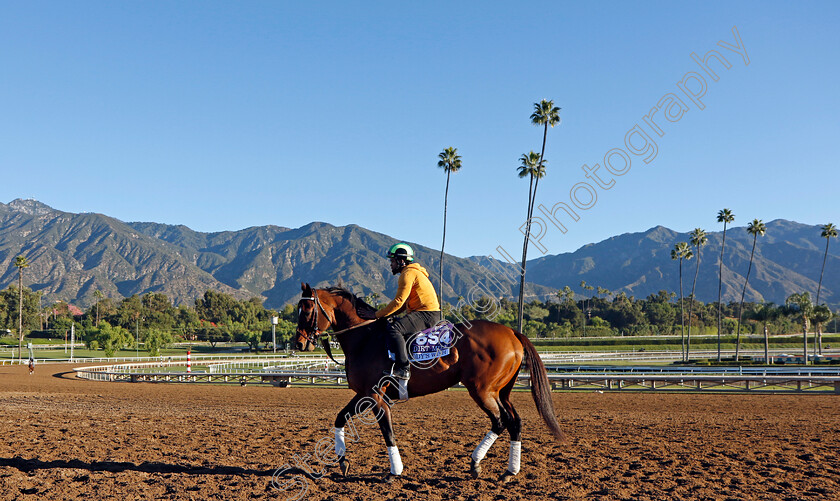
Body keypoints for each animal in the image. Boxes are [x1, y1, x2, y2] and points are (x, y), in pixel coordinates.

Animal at [296, 282, 564, 480]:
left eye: (307, 311)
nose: (299, 343)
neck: (365, 338)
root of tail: (512, 332)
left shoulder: (375, 396)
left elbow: (388, 432)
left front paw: (394, 472)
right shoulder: (363, 394)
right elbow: (340, 418)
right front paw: (342, 461)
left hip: (482, 391)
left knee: (501, 421)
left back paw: (476, 463)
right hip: (501, 391)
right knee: (515, 422)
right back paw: (509, 471)